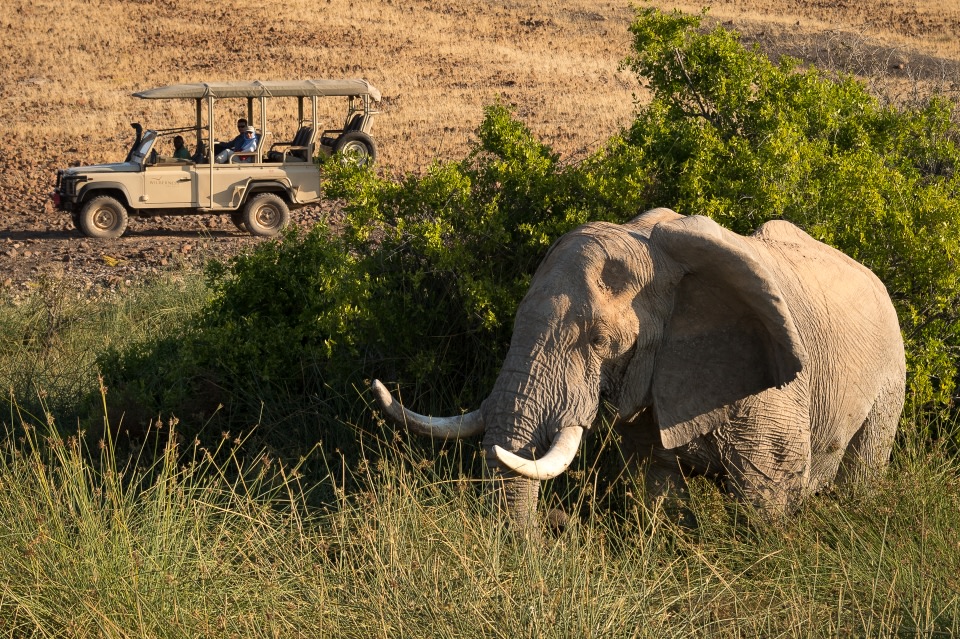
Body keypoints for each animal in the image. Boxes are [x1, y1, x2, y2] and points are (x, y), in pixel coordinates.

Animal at [372, 210, 904, 528]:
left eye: (599, 341)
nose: (551, 531)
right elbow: (659, 487)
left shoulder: (772, 391)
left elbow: (766, 498)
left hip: (891, 374)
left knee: (862, 470)